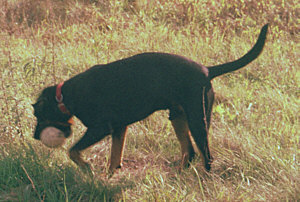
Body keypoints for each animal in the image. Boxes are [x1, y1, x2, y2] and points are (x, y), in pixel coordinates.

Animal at [32, 23, 270, 172]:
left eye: (38, 115)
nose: (35, 137)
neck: (65, 96)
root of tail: (207, 70)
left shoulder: (101, 128)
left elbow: (72, 151)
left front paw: (86, 168)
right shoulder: (120, 127)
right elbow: (114, 158)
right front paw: (107, 177)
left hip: (197, 121)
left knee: (206, 157)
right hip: (178, 118)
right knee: (190, 153)